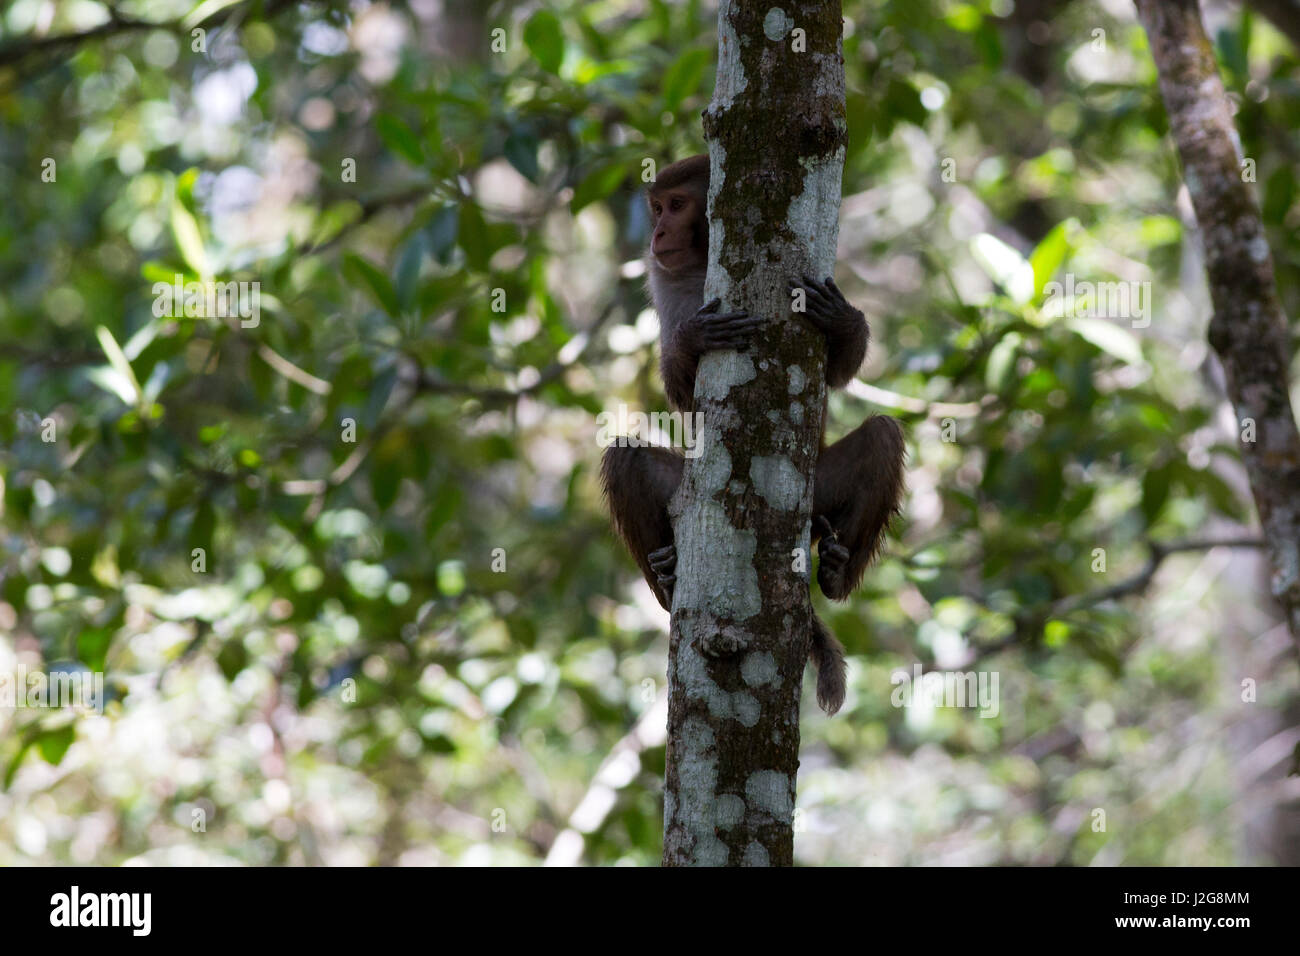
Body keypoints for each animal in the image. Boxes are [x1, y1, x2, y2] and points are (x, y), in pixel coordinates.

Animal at [600, 155, 907, 715]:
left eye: (676, 205)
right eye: (657, 207)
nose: (657, 232)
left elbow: (837, 373)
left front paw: (843, 321)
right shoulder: (664, 276)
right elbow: (681, 396)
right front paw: (692, 340)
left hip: (819, 491)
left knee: (881, 435)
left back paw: (837, 568)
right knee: (623, 455)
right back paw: (668, 574)